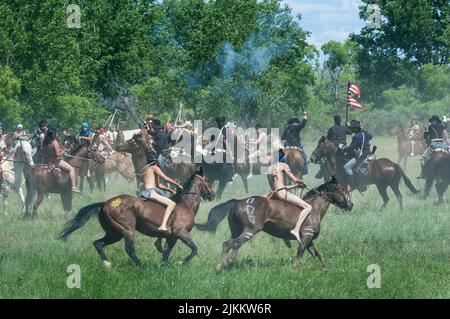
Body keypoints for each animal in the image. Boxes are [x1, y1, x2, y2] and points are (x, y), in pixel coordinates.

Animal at [59, 168, 215, 268]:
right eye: (207, 180)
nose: (212, 195)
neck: (186, 205)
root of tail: (104, 204)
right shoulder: (180, 233)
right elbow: (194, 249)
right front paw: (180, 263)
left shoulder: (172, 237)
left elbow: (166, 253)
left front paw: (163, 266)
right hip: (127, 229)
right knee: (130, 249)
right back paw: (141, 265)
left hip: (114, 233)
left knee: (98, 243)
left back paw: (107, 264)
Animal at [195, 178, 354, 272]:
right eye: (343, 189)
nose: (350, 205)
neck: (313, 208)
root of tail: (238, 201)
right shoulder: (306, 236)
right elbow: (300, 253)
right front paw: (295, 269)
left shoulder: (309, 240)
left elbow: (317, 256)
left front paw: (326, 270)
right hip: (249, 231)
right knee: (229, 244)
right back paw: (221, 265)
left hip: (237, 231)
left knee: (231, 244)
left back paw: (227, 263)